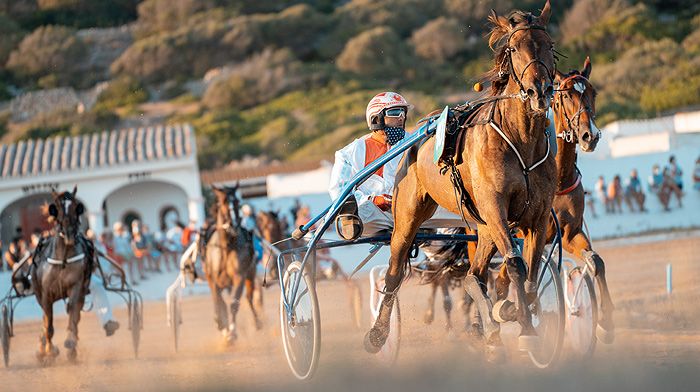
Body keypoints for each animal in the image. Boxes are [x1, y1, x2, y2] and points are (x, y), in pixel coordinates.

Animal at [32, 188, 94, 364]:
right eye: (57, 209)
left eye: (76, 207)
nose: (69, 233)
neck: (63, 259)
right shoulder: (46, 293)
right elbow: (48, 323)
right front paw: (49, 350)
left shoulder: (76, 286)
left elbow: (72, 311)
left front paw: (70, 341)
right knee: (45, 319)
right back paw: (42, 349)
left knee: (76, 314)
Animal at [205, 185, 266, 342]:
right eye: (224, 202)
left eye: (237, 202)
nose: (233, 225)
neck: (227, 247)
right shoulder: (213, 280)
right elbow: (218, 303)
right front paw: (222, 325)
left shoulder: (239, 276)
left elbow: (233, 303)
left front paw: (231, 333)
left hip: (250, 274)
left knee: (249, 298)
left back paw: (257, 322)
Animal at [366, 0, 556, 362]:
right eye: (513, 48)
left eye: (549, 45)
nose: (539, 91)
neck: (520, 140)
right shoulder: (496, 208)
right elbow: (515, 264)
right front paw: (527, 330)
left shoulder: (536, 217)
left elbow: (531, 274)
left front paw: (515, 312)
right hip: (408, 215)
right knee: (395, 273)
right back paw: (377, 334)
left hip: (482, 226)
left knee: (474, 275)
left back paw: (488, 328)